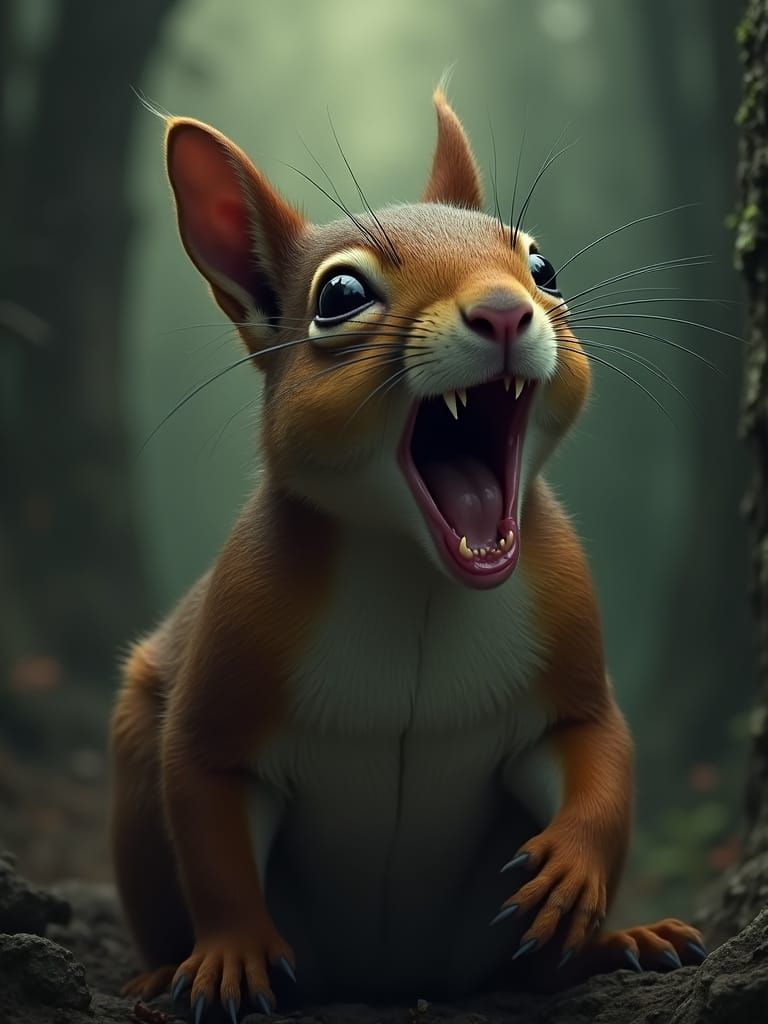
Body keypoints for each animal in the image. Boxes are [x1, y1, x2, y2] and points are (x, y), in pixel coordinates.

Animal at [110, 87, 708, 1018]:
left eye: (543, 267)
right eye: (339, 293)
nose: (504, 310)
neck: (418, 572)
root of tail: (396, 978)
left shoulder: (570, 650)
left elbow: (598, 754)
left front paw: (573, 870)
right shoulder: (224, 679)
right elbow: (209, 831)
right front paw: (231, 955)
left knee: (537, 966)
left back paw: (620, 942)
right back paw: (157, 969)